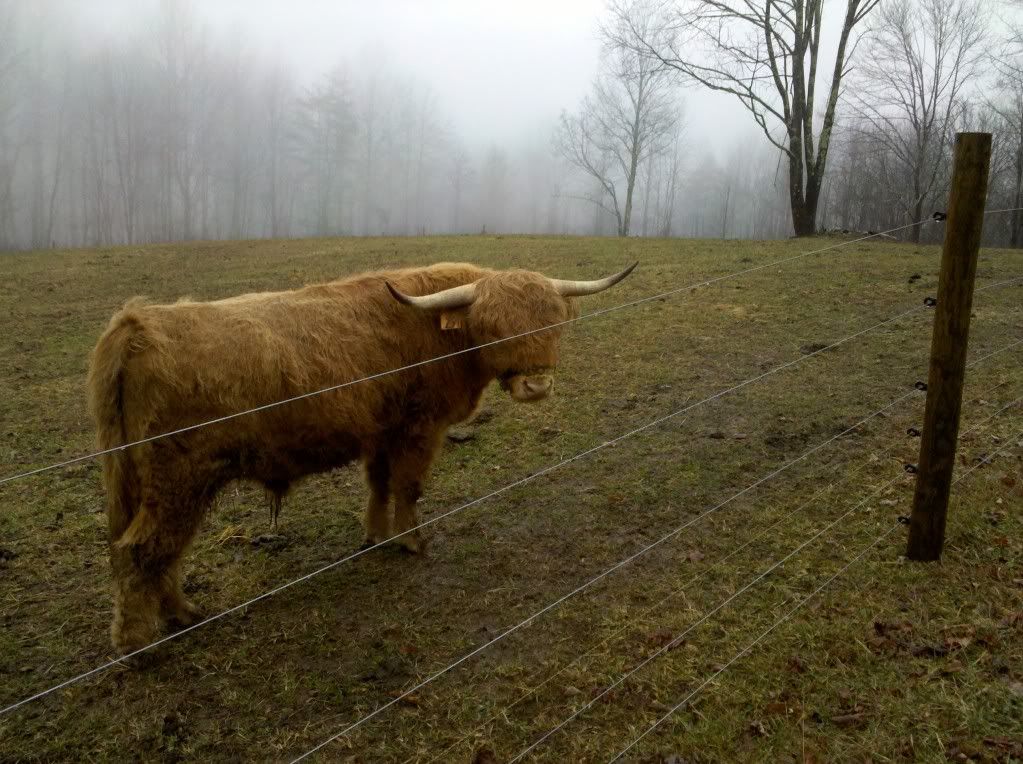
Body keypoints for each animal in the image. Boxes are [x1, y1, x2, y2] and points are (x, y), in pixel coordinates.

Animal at [87, 261, 635, 653]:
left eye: (554, 323)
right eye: (495, 326)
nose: (536, 385)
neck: (444, 338)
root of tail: (136, 324)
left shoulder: (381, 431)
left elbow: (378, 483)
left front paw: (375, 534)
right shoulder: (420, 429)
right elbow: (408, 486)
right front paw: (412, 541)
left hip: (147, 485)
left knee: (155, 552)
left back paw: (179, 615)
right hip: (177, 482)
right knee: (145, 550)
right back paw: (141, 641)